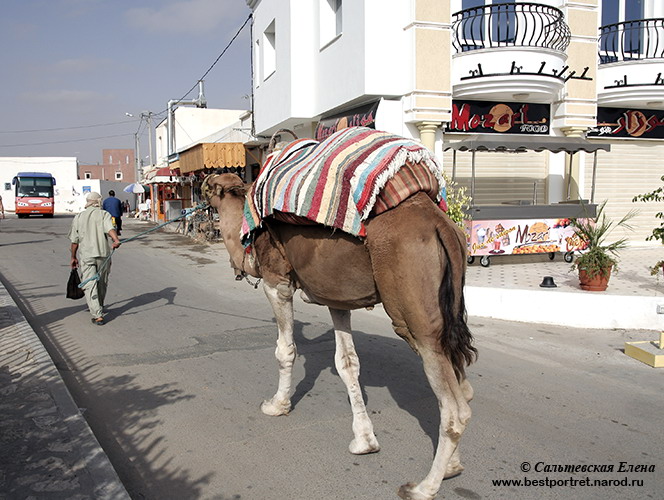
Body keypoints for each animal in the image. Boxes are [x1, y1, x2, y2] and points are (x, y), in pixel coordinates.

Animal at [202, 167, 478, 496]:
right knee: (464, 386)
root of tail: (443, 227)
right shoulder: (336, 297)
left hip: (416, 317)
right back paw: (452, 467)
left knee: (454, 407)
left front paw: (277, 405)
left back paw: (424, 487)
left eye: (211, 186)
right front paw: (364, 441)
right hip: (448, 310)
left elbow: (285, 350)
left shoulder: (276, 280)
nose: (202, 188)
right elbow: (347, 363)